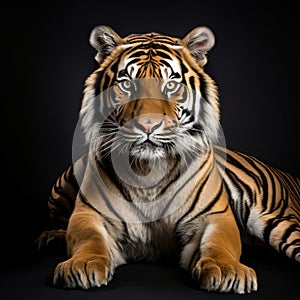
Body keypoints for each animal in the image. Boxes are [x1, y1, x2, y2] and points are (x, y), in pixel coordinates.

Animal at [37, 25, 300, 292]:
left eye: (171, 85)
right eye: (127, 84)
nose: (147, 124)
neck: (147, 171)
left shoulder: (215, 216)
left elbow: (219, 243)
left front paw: (227, 270)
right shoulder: (89, 214)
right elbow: (88, 239)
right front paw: (82, 264)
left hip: (278, 221)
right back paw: (51, 237)